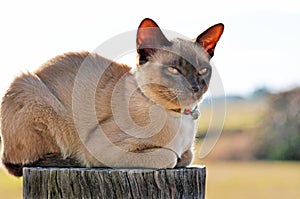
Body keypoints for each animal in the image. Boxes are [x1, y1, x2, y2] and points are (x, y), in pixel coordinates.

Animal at [0, 17, 223, 176]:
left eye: (203, 71)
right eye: (174, 70)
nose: (195, 87)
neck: (179, 117)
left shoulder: (187, 151)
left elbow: (187, 156)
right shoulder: (104, 148)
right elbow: (170, 157)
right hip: (33, 90)